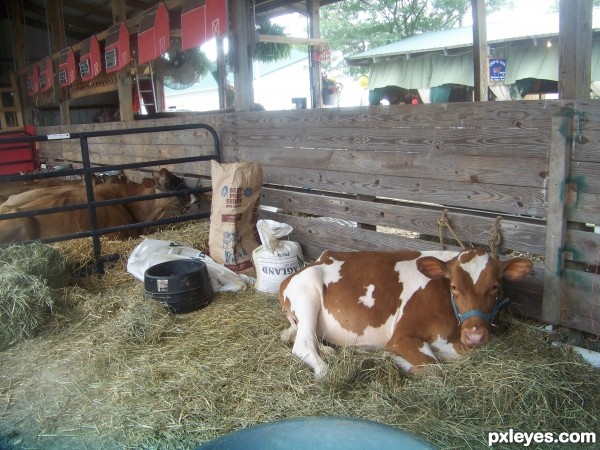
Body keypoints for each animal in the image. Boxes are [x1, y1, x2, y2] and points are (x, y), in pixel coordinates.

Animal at [278, 248, 532, 378]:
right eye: (454, 287)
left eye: (496, 287)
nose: (475, 335)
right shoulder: (402, 336)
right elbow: (433, 368)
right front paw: (393, 358)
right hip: (307, 294)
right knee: (303, 344)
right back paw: (324, 369)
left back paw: (329, 350)